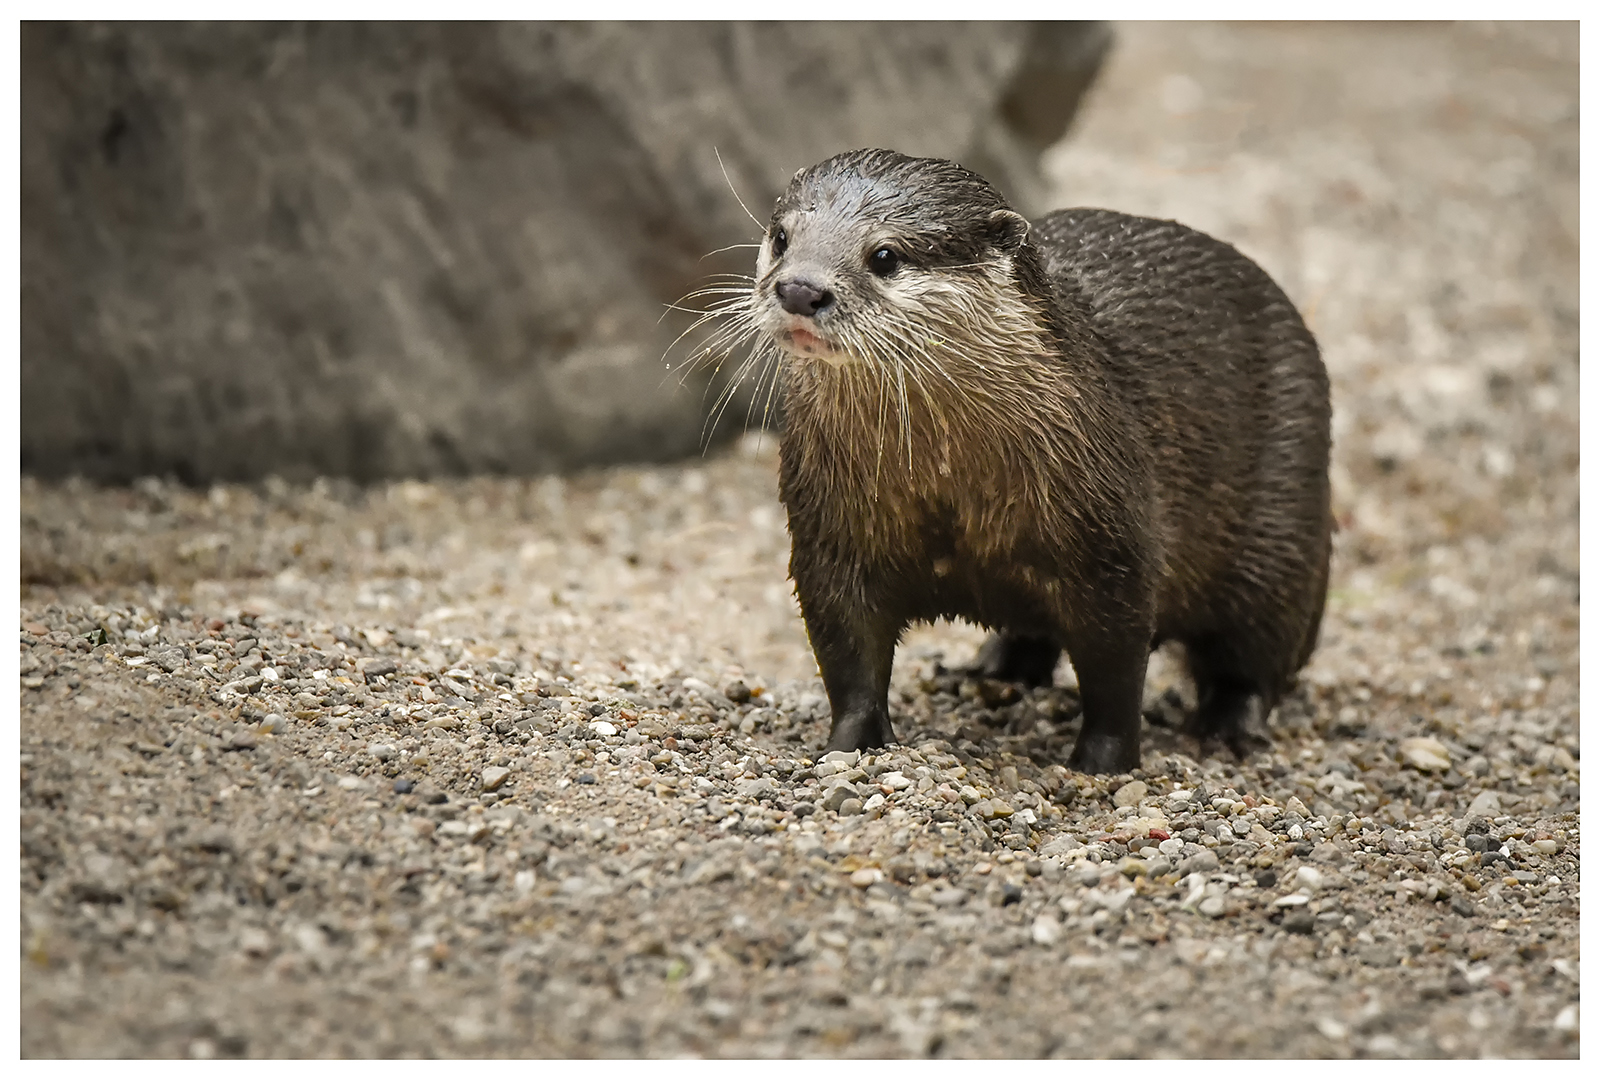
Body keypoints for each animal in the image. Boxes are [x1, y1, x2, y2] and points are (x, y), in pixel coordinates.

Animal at [726, 149, 1324, 777]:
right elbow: (847, 653)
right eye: (782, 237)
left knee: (1257, 654)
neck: (950, 484)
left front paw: (1102, 762)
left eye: (885, 255)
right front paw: (849, 745)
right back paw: (993, 669)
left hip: (1281, 541)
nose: (800, 288)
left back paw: (1228, 727)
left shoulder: (1112, 550)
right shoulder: (831, 536)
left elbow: (1116, 670)